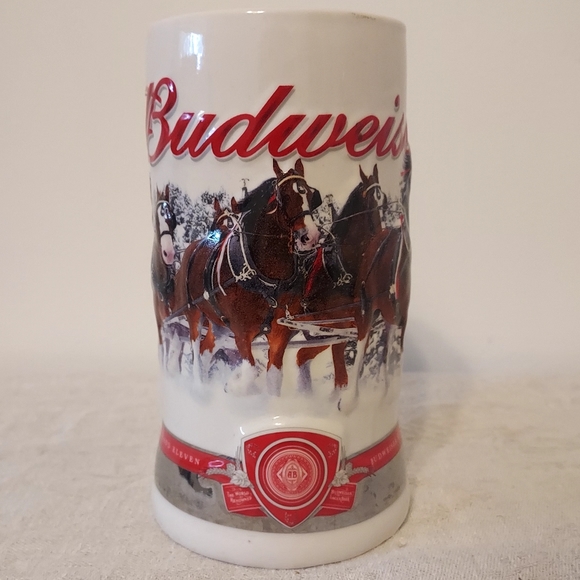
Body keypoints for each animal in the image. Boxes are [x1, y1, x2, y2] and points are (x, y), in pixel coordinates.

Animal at [176, 158, 321, 395]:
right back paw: (199, 388)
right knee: (196, 351)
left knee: (207, 348)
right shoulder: (241, 333)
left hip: (218, 323)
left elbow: (274, 378)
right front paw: (233, 383)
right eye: (284, 196)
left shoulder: (279, 334)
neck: (266, 280)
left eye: (310, 193)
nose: (310, 236)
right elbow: (251, 370)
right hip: (193, 312)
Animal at [294, 165, 387, 409]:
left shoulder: (348, 329)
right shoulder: (329, 329)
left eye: (383, 200)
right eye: (369, 201)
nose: (381, 239)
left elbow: (342, 373)